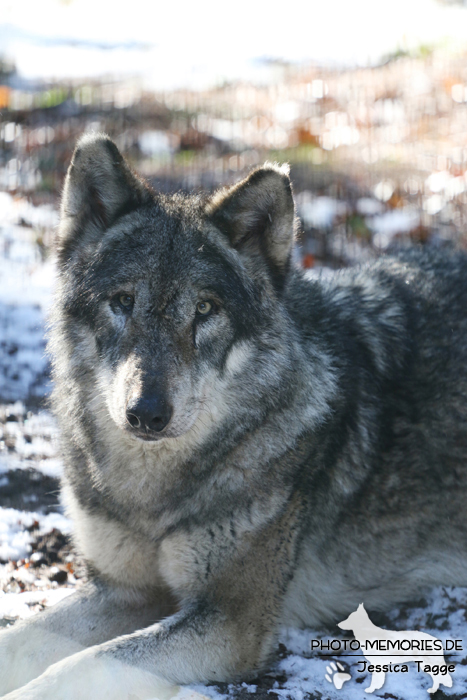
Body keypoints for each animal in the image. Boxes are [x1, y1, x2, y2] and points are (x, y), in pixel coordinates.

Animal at [0, 133, 467, 700]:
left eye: (205, 310)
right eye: (123, 301)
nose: (146, 414)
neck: (152, 495)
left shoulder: (230, 620)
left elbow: (80, 666)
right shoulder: (125, 590)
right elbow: (19, 641)